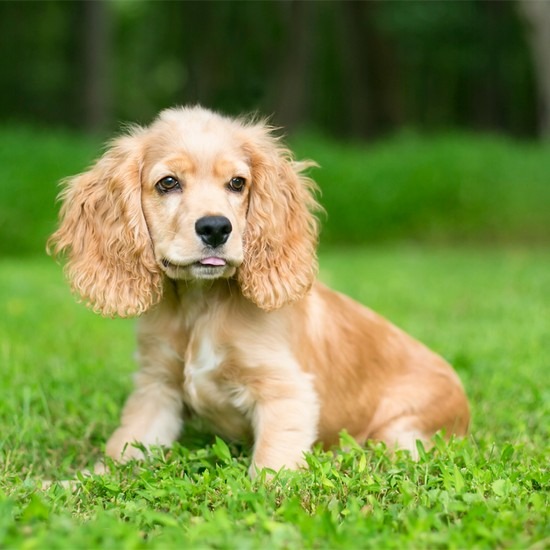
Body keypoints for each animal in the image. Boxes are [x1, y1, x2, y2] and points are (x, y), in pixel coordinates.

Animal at [48, 106, 470, 478]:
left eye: (238, 183)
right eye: (168, 182)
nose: (216, 228)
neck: (201, 304)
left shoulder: (285, 391)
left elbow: (271, 468)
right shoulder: (156, 389)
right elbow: (122, 451)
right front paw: (69, 483)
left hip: (402, 430)